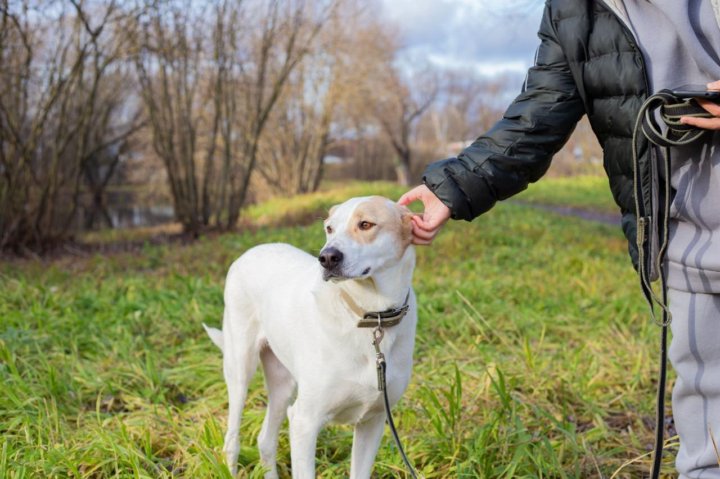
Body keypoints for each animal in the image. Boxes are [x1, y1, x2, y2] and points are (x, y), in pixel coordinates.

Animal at [202, 196, 416, 479]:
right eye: (329, 228)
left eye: (366, 224)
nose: (326, 257)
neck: (371, 315)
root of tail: (251, 251)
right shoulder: (304, 422)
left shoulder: (373, 421)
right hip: (240, 371)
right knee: (232, 440)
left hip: (283, 385)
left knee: (265, 440)